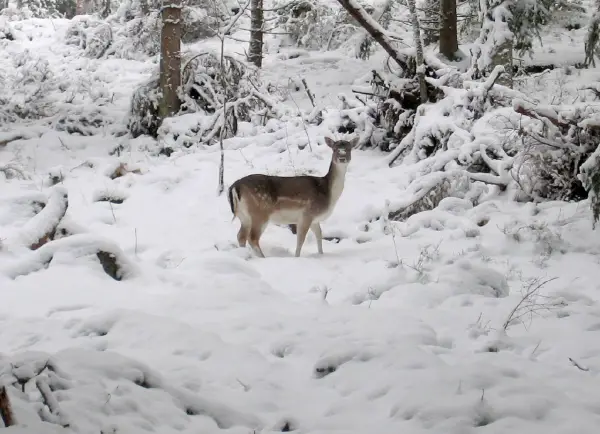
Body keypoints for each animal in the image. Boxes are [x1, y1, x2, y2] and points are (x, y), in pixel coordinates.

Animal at [226, 136, 356, 258]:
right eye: (334, 149)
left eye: (349, 148)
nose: (342, 158)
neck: (328, 193)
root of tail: (235, 186)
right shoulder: (307, 214)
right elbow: (301, 240)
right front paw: (297, 257)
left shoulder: (314, 219)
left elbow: (319, 235)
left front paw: (321, 254)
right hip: (259, 213)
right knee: (252, 238)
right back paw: (263, 258)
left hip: (244, 216)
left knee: (241, 236)